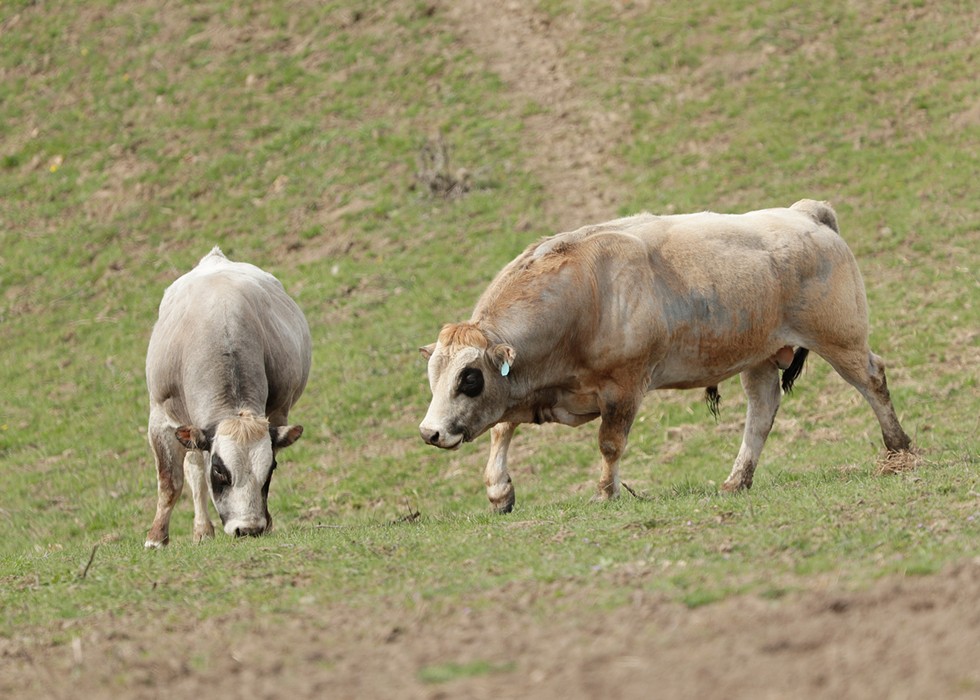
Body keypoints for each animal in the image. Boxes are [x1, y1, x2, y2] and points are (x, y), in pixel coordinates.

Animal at [145, 246, 310, 548]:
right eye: (220, 471)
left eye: (271, 469)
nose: (248, 529)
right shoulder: (161, 417)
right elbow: (170, 481)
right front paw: (156, 538)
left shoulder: (278, 412)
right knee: (193, 469)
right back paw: (201, 529)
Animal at [420, 200, 912, 512]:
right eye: (434, 375)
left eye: (469, 378)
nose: (430, 432)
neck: (586, 296)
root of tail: (804, 213)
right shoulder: (525, 392)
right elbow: (502, 429)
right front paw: (499, 492)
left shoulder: (625, 387)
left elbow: (610, 443)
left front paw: (606, 493)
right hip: (758, 356)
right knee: (761, 411)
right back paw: (736, 480)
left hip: (841, 338)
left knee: (873, 379)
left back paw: (899, 448)